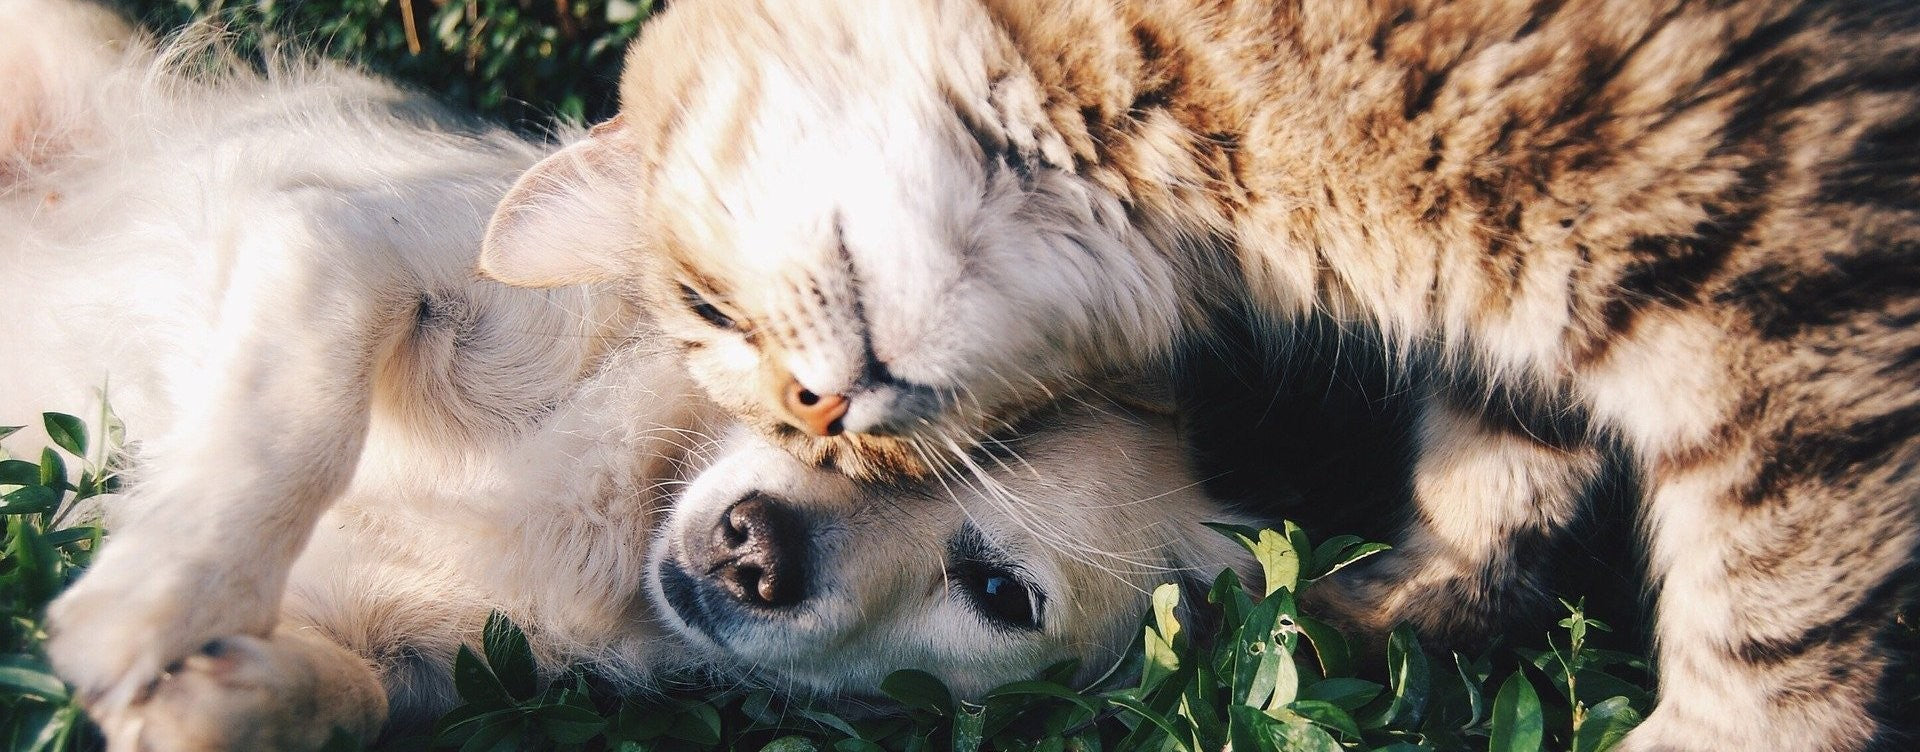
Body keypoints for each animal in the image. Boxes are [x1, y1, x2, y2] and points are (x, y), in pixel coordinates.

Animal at [3, 2, 1259, 748]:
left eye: (999, 592)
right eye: (817, 405)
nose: (757, 549)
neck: (628, 500)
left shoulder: (415, 657)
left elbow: (349, 693)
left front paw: (219, 694)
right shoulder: (347, 241)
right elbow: (292, 429)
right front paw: (152, 600)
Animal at [480, 2, 1920, 748]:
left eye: (709, 310)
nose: (823, 419)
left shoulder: (1788, 271)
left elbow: (1774, 610)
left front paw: (1721, 737)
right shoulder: (1531, 302)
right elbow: (1493, 473)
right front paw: (1394, 612)